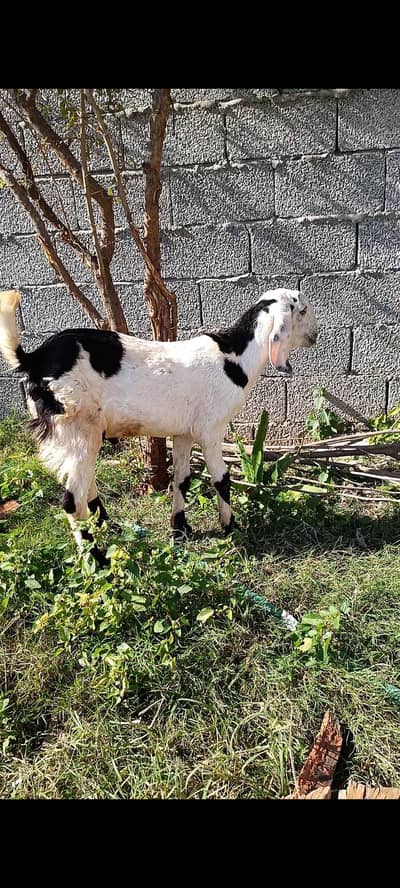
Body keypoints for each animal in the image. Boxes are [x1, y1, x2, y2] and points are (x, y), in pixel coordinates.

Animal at [0, 288, 318, 560]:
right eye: (302, 309)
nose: (315, 336)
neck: (234, 358)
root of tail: (33, 359)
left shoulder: (184, 432)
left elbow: (182, 478)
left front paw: (181, 528)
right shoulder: (211, 429)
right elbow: (221, 479)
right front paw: (230, 528)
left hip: (82, 431)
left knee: (84, 484)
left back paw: (110, 528)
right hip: (77, 425)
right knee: (71, 499)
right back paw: (97, 560)